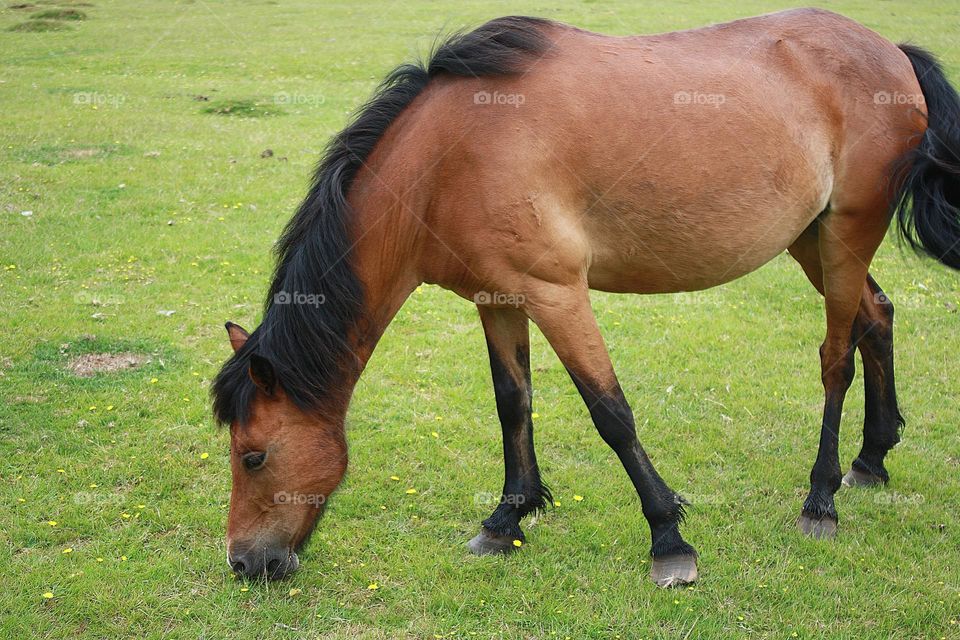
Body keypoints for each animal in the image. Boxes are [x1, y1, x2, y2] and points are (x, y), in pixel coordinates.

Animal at [212, 8, 960, 587]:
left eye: (253, 456)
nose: (246, 564)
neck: (451, 155)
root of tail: (891, 52)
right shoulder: (498, 299)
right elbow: (512, 404)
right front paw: (507, 517)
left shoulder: (557, 293)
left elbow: (611, 414)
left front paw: (669, 540)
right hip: (813, 238)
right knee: (875, 317)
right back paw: (870, 459)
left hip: (846, 234)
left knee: (836, 356)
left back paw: (820, 499)